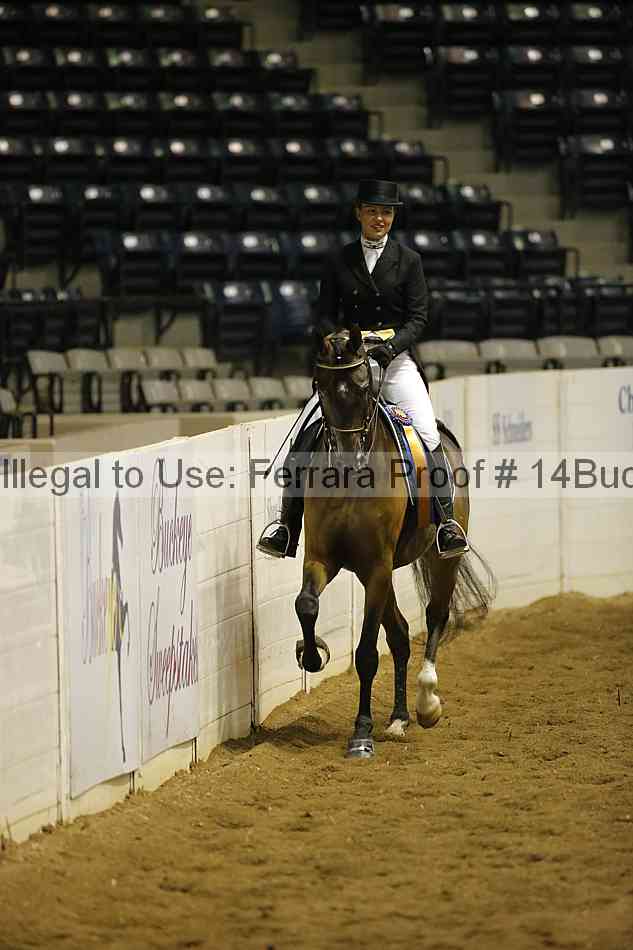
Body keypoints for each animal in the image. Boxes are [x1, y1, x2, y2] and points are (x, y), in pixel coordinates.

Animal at [293, 325, 495, 758]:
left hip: (438, 559)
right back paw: (399, 717)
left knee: (435, 616)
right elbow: (306, 603)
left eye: (362, 388)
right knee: (401, 634)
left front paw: (361, 733)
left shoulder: (377, 566)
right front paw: (312, 656)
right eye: (321, 387)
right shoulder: (324, 557)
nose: (347, 461)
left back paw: (426, 702)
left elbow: (368, 654)